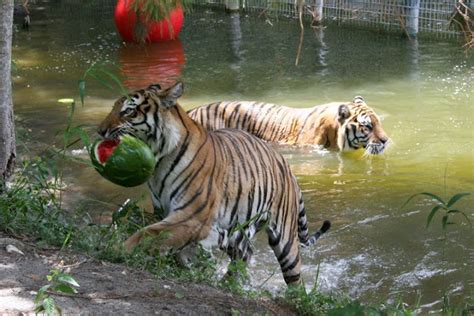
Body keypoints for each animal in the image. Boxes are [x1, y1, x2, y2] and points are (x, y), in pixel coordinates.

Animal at [98, 80, 332, 286]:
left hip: (284, 238)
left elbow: (146, 233)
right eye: (114, 107)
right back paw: (228, 282)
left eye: (128, 111)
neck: (159, 162)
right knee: (245, 254)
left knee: (294, 277)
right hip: (234, 230)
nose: (100, 131)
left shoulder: (191, 216)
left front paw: (116, 249)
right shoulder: (166, 213)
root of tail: (286, 165)